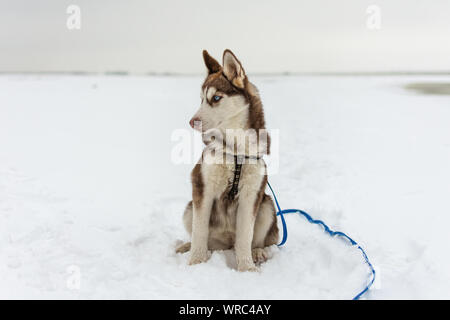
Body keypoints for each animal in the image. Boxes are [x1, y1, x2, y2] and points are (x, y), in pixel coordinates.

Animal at [177, 48, 278, 272]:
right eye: (201, 99)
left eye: (216, 98)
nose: (191, 122)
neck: (236, 151)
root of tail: (226, 243)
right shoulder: (202, 187)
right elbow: (199, 232)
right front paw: (196, 262)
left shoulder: (252, 193)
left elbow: (245, 236)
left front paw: (247, 269)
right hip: (189, 208)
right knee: (204, 238)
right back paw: (187, 247)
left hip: (267, 205)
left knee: (253, 241)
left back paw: (257, 252)